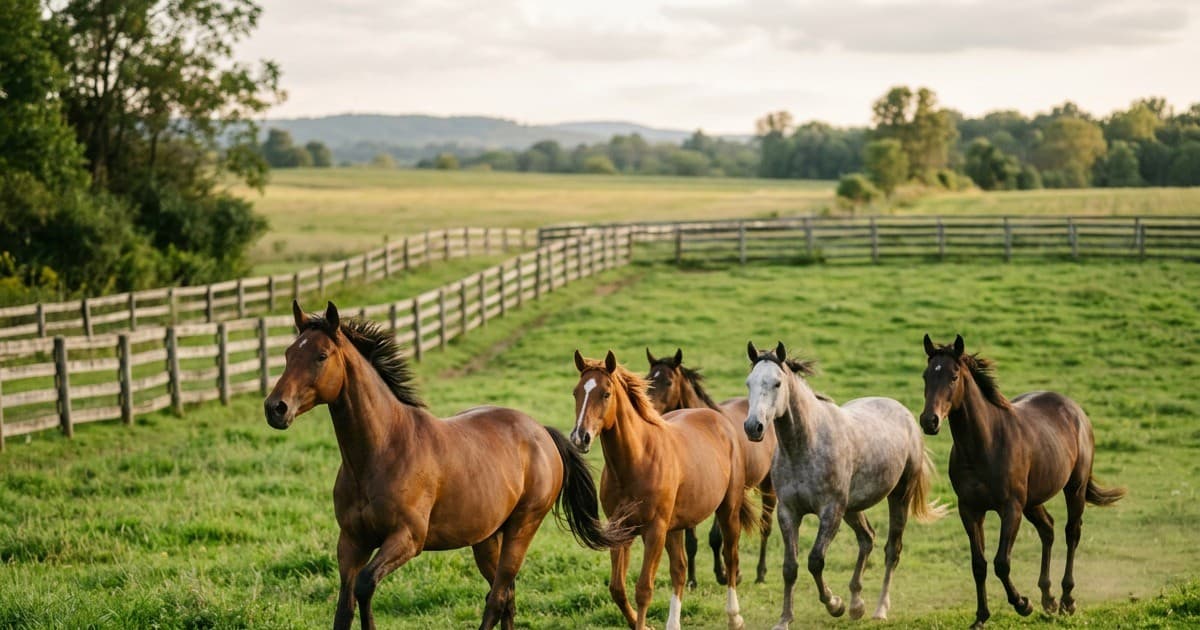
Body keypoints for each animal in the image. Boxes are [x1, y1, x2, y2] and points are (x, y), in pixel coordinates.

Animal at [264, 301, 622, 630]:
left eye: (321, 356)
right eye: (288, 354)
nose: (275, 408)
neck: (381, 451)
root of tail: (542, 432)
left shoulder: (407, 538)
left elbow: (365, 586)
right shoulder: (351, 541)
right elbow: (344, 606)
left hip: (522, 528)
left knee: (498, 597)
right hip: (486, 539)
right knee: (507, 595)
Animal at [570, 350, 757, 630]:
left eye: (605, 393)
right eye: (576, 392)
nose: (579, 438)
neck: (636, 460)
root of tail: (719, 420)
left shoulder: (655, 530)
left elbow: (643, 589)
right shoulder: (620, 529)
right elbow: (617, 588)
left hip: (728, 509)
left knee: (730, 556)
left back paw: (734, 617)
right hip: (675, 527)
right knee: (679, 570)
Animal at [645, 347, 777, 587]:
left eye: (668, 382)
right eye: (648, 379)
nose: (649, 410)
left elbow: (716, 537)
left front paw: (725, 574)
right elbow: (691, 541)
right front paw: (692, 580)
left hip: (768, 485)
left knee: (765, 525)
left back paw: (760, 573)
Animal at [743, 341, 945, 629]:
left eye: (777, 383)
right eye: (749, 382)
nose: (753, 427)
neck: (806, 445)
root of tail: (904, 413)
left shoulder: (830, 511)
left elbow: (815, 561)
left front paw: (834, 604)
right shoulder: (788, 512)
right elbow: (790, 567)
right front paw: (784, 619)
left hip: (898, 497)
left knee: (892, 550)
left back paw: (879, 609)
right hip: (852, 508)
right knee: (867, 539)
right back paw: (857, 604)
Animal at [920, 334, 1126, 629]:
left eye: (953, 376)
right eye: (926, 375)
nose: (929, 421)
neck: (984, 444)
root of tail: (1076, 410)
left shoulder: (1010, 508)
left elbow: (1001, 563)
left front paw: (1022, 604)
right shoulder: (970, 510)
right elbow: (979, 564)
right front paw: (981, 617)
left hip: (1073, 489)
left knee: (1071, 533)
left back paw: (1066, 600)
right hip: (1033, 500)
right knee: (1048, 529)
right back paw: (1048, 599)